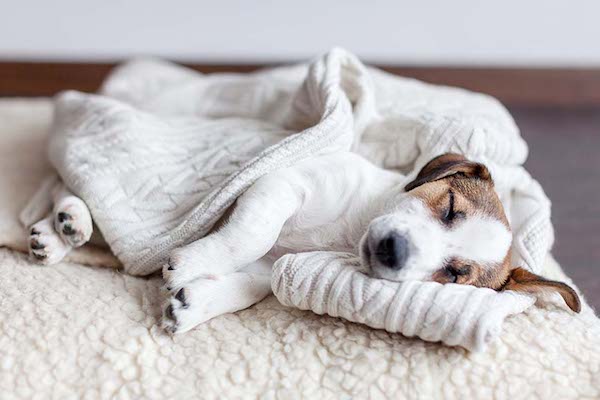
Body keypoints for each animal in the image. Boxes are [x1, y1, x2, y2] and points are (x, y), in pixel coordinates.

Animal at [24, 152, 580, 332]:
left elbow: (252, 283)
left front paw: (194, 302)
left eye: (455, 275)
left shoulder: (272, 261)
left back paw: (60, 233)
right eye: (448, 208)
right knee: (59, 183)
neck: (352, 227)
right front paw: (193, 261)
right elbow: (247, 237)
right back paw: (69, 218)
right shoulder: (279, 184)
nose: (394, 252)